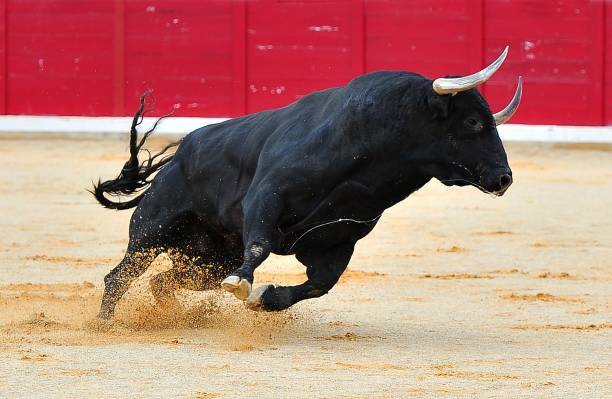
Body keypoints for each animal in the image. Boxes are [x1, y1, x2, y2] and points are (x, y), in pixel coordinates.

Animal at [93, 69, 520, 320]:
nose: (503, 178)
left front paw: (266, 299)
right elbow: (260, 245)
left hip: (208, 260)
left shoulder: (340, 239)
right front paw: (244, 284)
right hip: (153, 229)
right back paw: (105, 323)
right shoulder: (266, 196)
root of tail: (178, 155)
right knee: (120, 275)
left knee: (163, 283)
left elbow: (319, 284)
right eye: (473, 121)